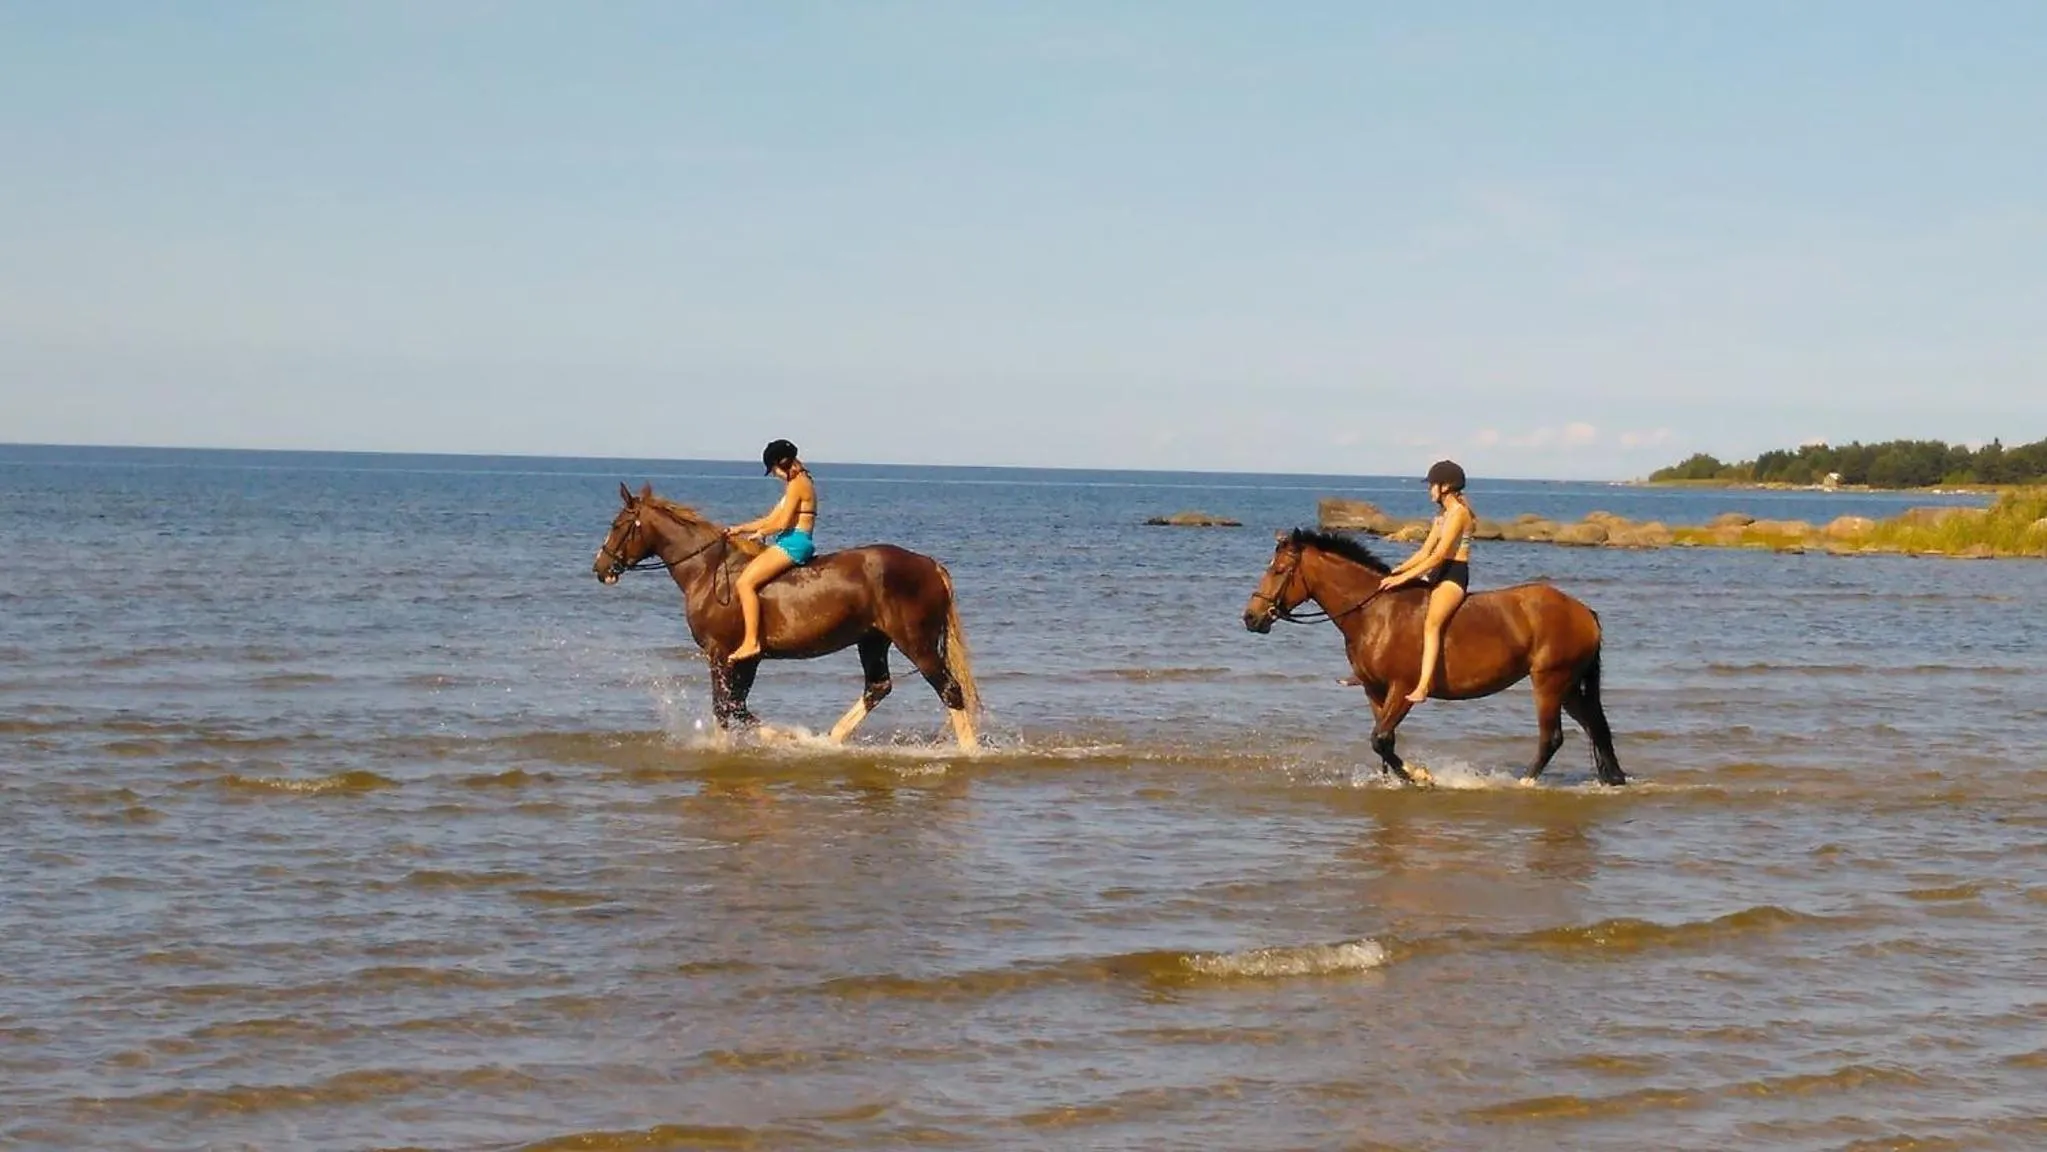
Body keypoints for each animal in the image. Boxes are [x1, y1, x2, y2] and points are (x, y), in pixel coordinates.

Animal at [593, 483, 981, 750]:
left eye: (617, 524)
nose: (600, 568)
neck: (709, 571)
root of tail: (930, 565)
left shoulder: (720, 653)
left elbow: (726, 707)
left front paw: (782, 739)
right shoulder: (746, 659)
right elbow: (734, 706)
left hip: (915, 642)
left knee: (949, 691)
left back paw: (969, 752)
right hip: (873, 640)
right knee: (878, 687)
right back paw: (829, 741)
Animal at [1243, 528, 1625, 787]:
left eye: (1278, 570)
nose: (1251, 618)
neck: (1375, 613)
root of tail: (1583, 611)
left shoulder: (1402, 688)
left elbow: (1380, 738)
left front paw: (1421, 776)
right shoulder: (1374, 691)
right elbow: (1384, 742)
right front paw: (1401, 778)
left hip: (1549, 682)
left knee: (1552, 737)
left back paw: (1525, 783)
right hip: (1569, 686)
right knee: (1595, 727)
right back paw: (1615, 780)